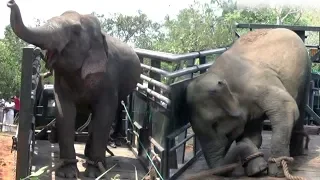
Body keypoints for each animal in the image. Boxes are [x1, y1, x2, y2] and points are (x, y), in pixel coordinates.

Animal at [7, 0, 141, 178]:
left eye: (76, 31)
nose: (10, 3)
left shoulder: (109, 79)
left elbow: (104, 114)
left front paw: (93, 174)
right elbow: (65, 112)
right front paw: (67, 173)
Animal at [171, 28, 312, 177]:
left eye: (215, 124)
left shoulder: (258, 84)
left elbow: (286, 107)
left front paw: (276, 172)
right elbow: (252, 135)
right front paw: (256, 170)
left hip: (305, 73)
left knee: (299, 106)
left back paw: (296, 154)